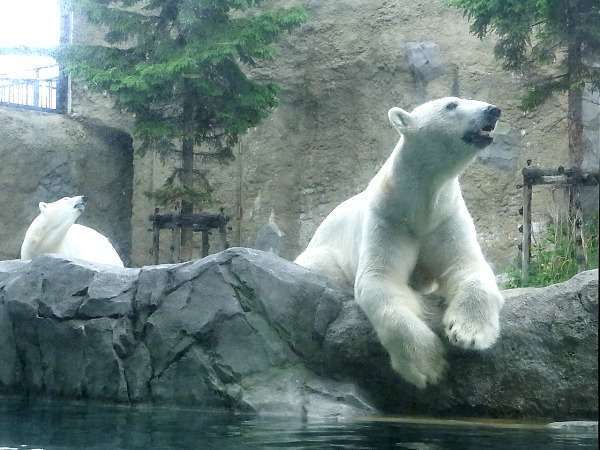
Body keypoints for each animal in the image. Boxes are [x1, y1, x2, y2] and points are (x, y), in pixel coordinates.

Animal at [296, 96, 506, 388]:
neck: (419, 206)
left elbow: (466, 265)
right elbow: (380, 279)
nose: (493, 110)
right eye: (451, 104)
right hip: (323, 253)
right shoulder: (389, 219)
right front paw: (428, 366)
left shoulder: (445, 216)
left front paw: (469, 334)